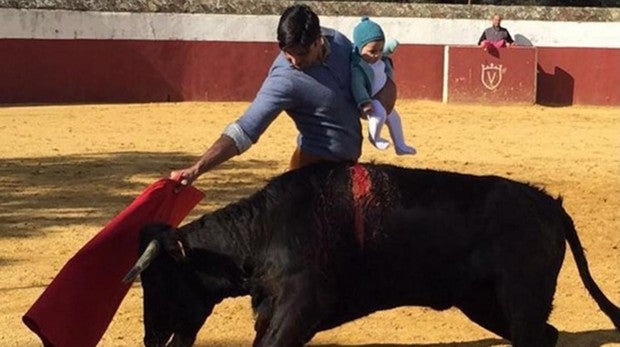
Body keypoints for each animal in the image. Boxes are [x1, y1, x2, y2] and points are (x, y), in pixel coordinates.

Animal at [123, 164, 616, 347]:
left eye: (159, 278)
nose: (149, 338)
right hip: (484, 302)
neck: (265, 231)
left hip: (521, 297)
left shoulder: (300, 307)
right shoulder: (272, 310)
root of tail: (547, 202)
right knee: (545, 335)